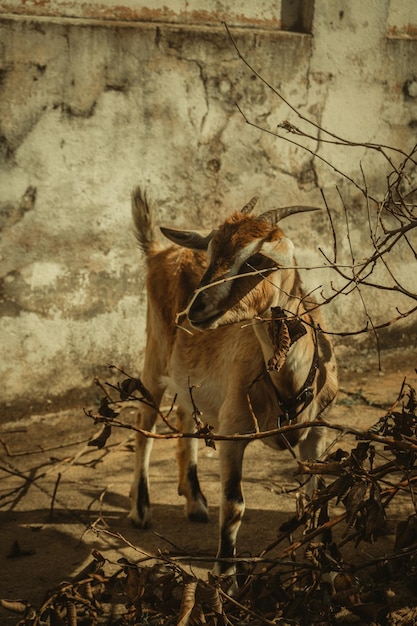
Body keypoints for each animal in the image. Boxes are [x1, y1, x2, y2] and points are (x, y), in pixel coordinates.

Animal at [129, 188, 338, 584]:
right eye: (211, 254)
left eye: (256, 259)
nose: (194, 310)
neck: (286, 383)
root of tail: (158, 250)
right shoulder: (233, 432)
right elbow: (235, 503)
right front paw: (225, 570)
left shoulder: (318, 433)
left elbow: (318, 496)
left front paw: (328, 564)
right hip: (154, 355)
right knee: (144, 426)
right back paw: (140, 511)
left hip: (186, 377)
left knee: (185, 419)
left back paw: (195, 501)